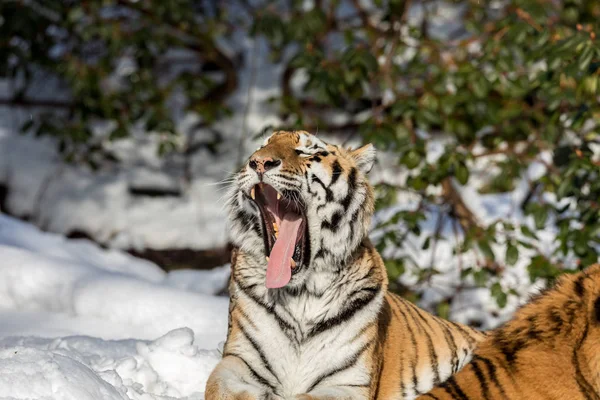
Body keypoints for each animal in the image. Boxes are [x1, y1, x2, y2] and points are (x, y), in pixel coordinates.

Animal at [204, 132, 486, 400]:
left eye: (307, 151)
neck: (300, 295)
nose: (259, 162)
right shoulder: (237, 361)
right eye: (261, 147)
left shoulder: (348, 383)